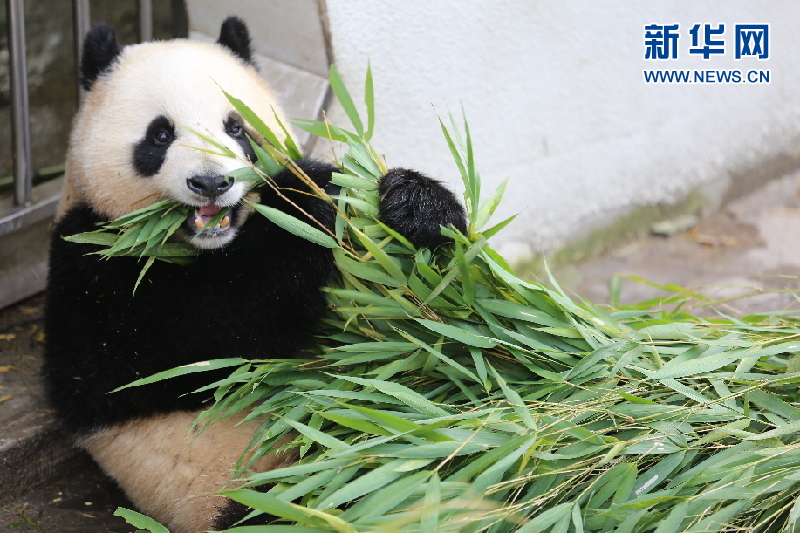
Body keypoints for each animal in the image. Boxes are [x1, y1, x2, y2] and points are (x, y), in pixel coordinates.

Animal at [43, 14, 466, 532]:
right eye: (160, 135)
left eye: (237, 128)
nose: (211, 182)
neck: (208, 247)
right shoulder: (91, 264)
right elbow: (209, 334)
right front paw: (308, 195)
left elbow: (427, 323)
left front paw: (417, 206)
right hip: (252, 493)